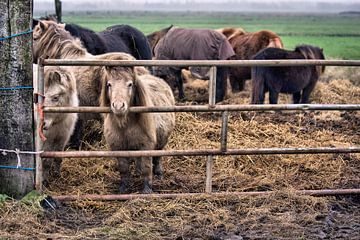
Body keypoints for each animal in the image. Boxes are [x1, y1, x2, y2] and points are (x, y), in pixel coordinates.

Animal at [100, 54, 176, 193]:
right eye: (109, 85)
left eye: (130, 84)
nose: (118, 106)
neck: (125, 125)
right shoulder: (118, 147)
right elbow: (124, 169)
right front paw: (123, 188)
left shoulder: (146, 146)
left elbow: (147, 168)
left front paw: (147, 190)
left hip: (161, 141)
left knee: (158, 157)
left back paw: (159, 174)